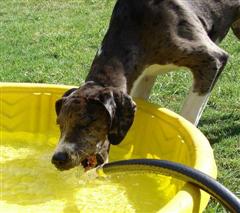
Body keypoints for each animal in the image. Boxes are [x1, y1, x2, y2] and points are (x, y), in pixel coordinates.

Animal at [51, 0, 239, 171]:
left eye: (86, 123)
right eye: (60, 124)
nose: (57, 158)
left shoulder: (211, 61)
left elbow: (189, 117)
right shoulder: (145, 77)